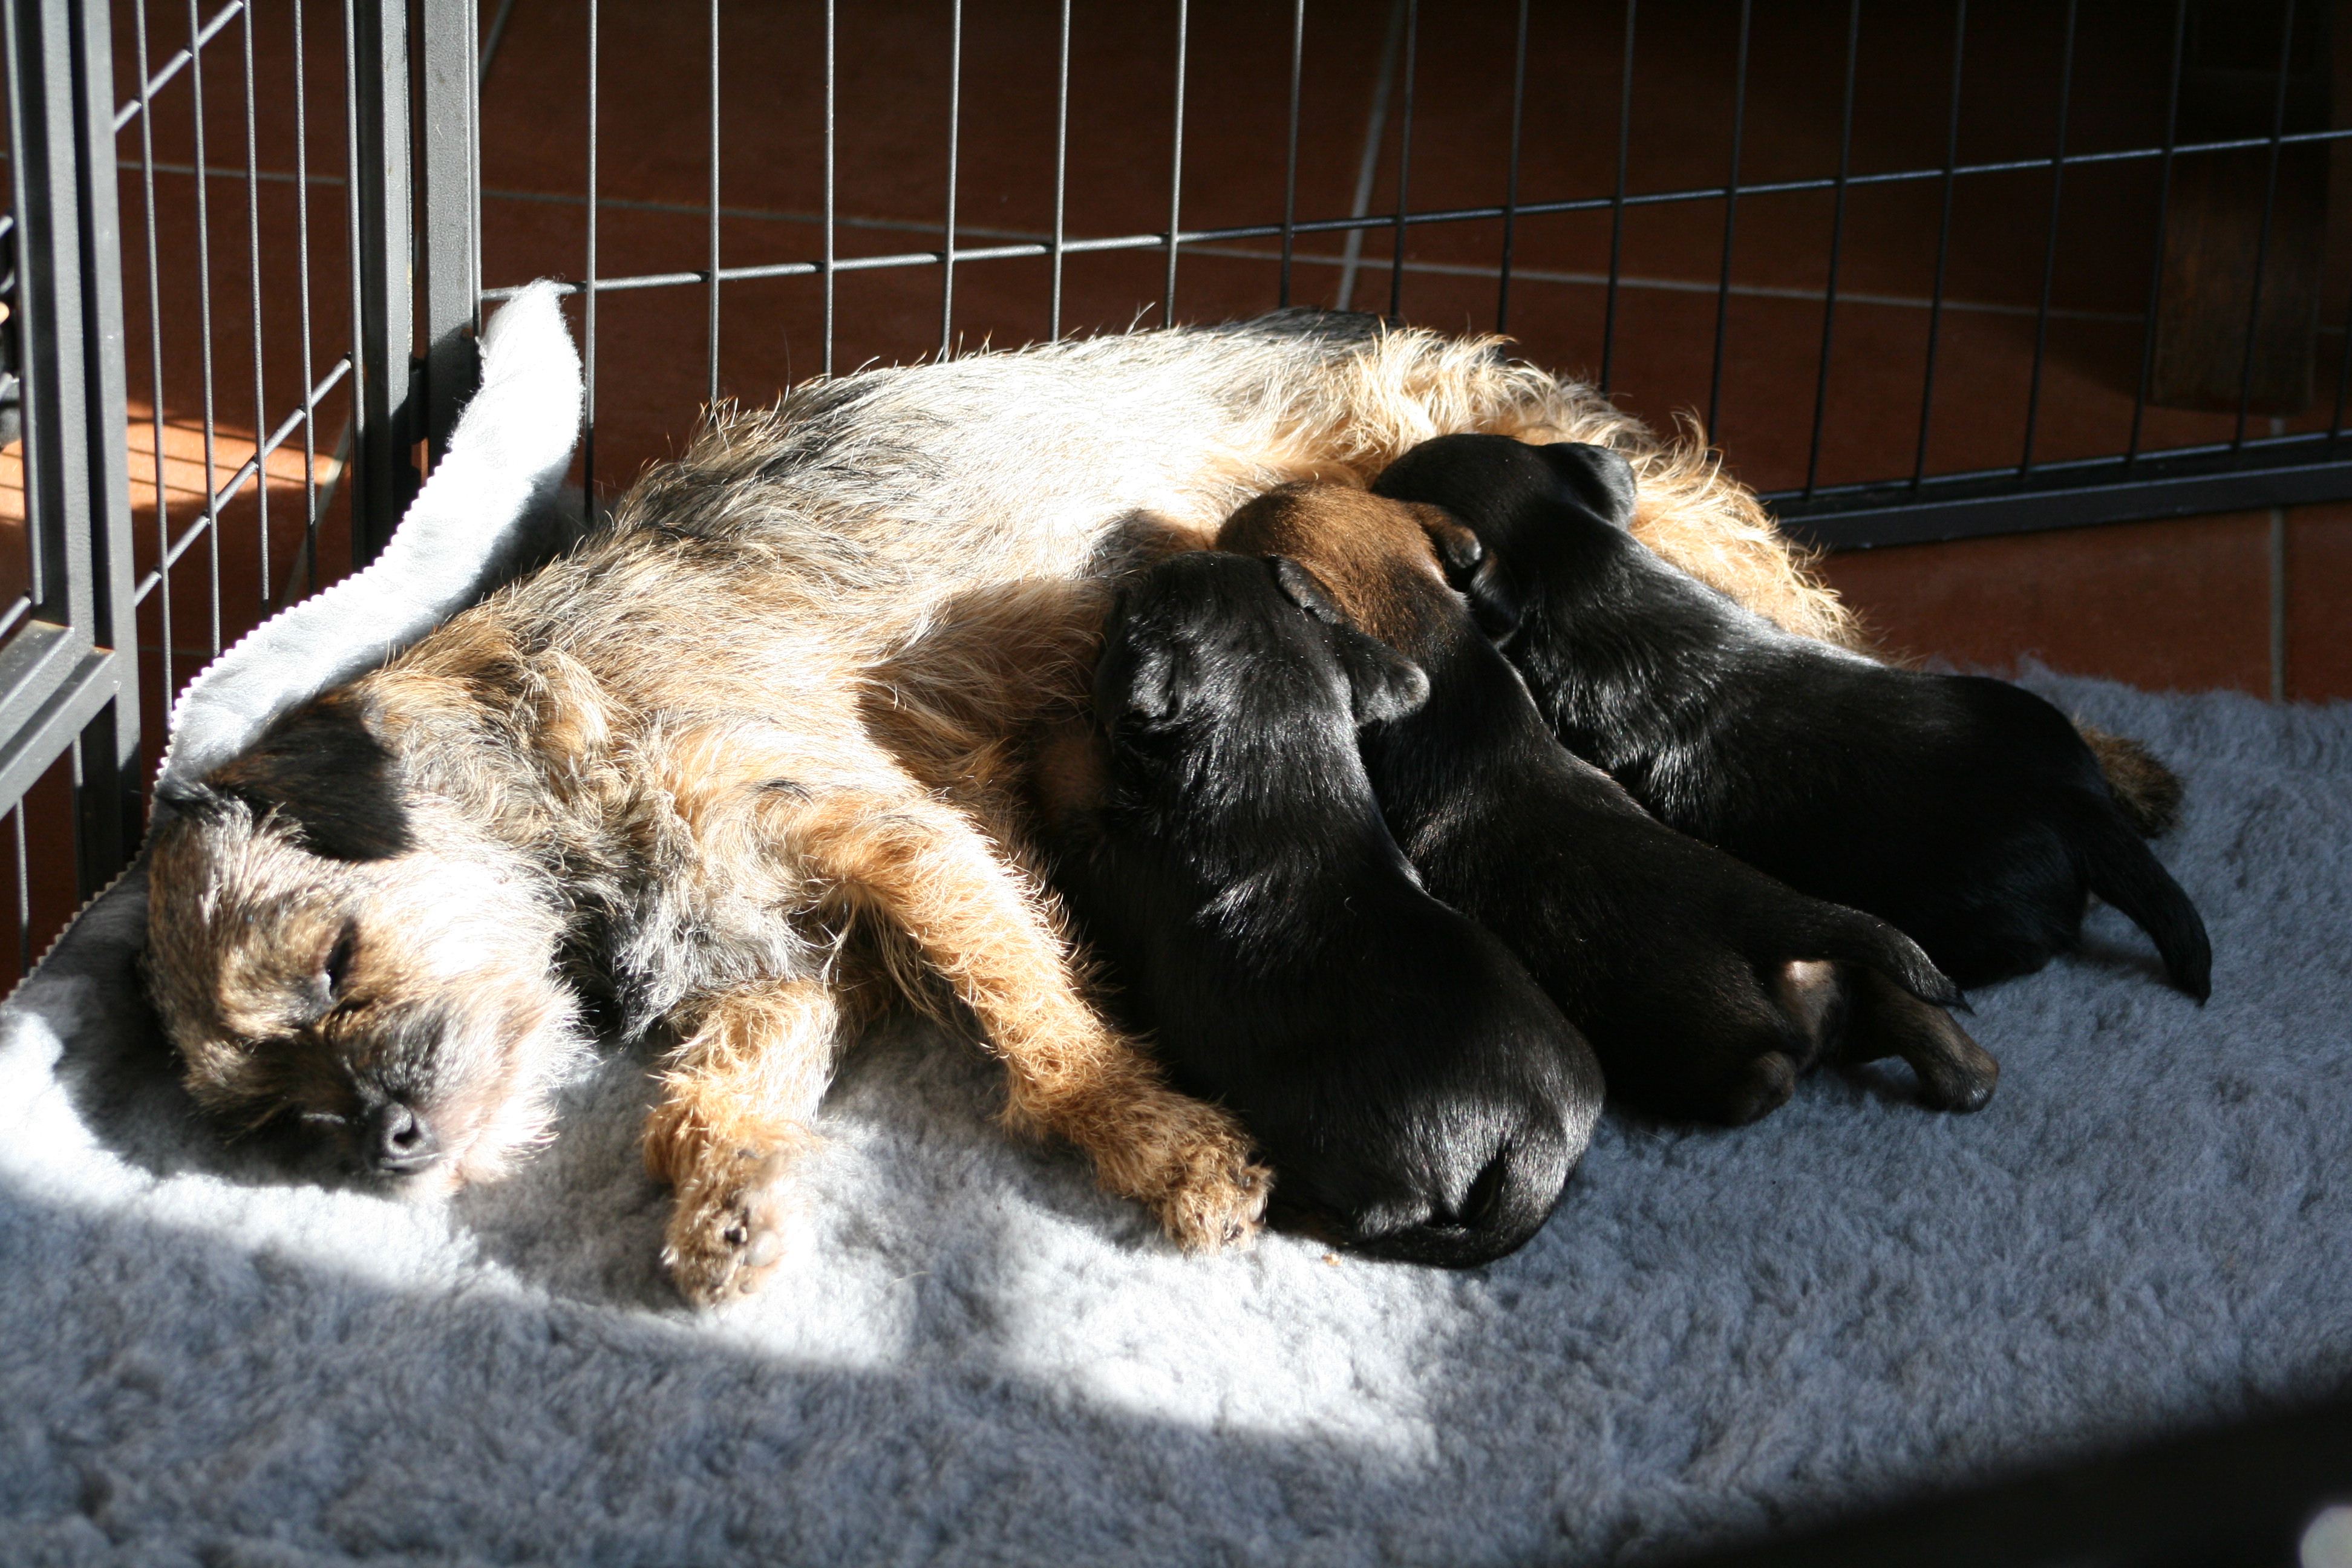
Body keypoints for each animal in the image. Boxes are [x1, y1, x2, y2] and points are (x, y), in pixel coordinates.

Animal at [1034, 550, 1598, 1266]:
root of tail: (1541, 1146)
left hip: (1359, 1143)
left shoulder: (1110, 861)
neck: (1276, 756)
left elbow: (1065, 782)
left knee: (1381, 1213)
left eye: (1125, 605)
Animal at [1217, 483, 1995, 1125]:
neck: (1429, 630)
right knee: (1946, 1044)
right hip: (1868, 975)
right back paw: (1965, 1068)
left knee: (1764, 1076)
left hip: (1702, 1040)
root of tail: (1778, 924)